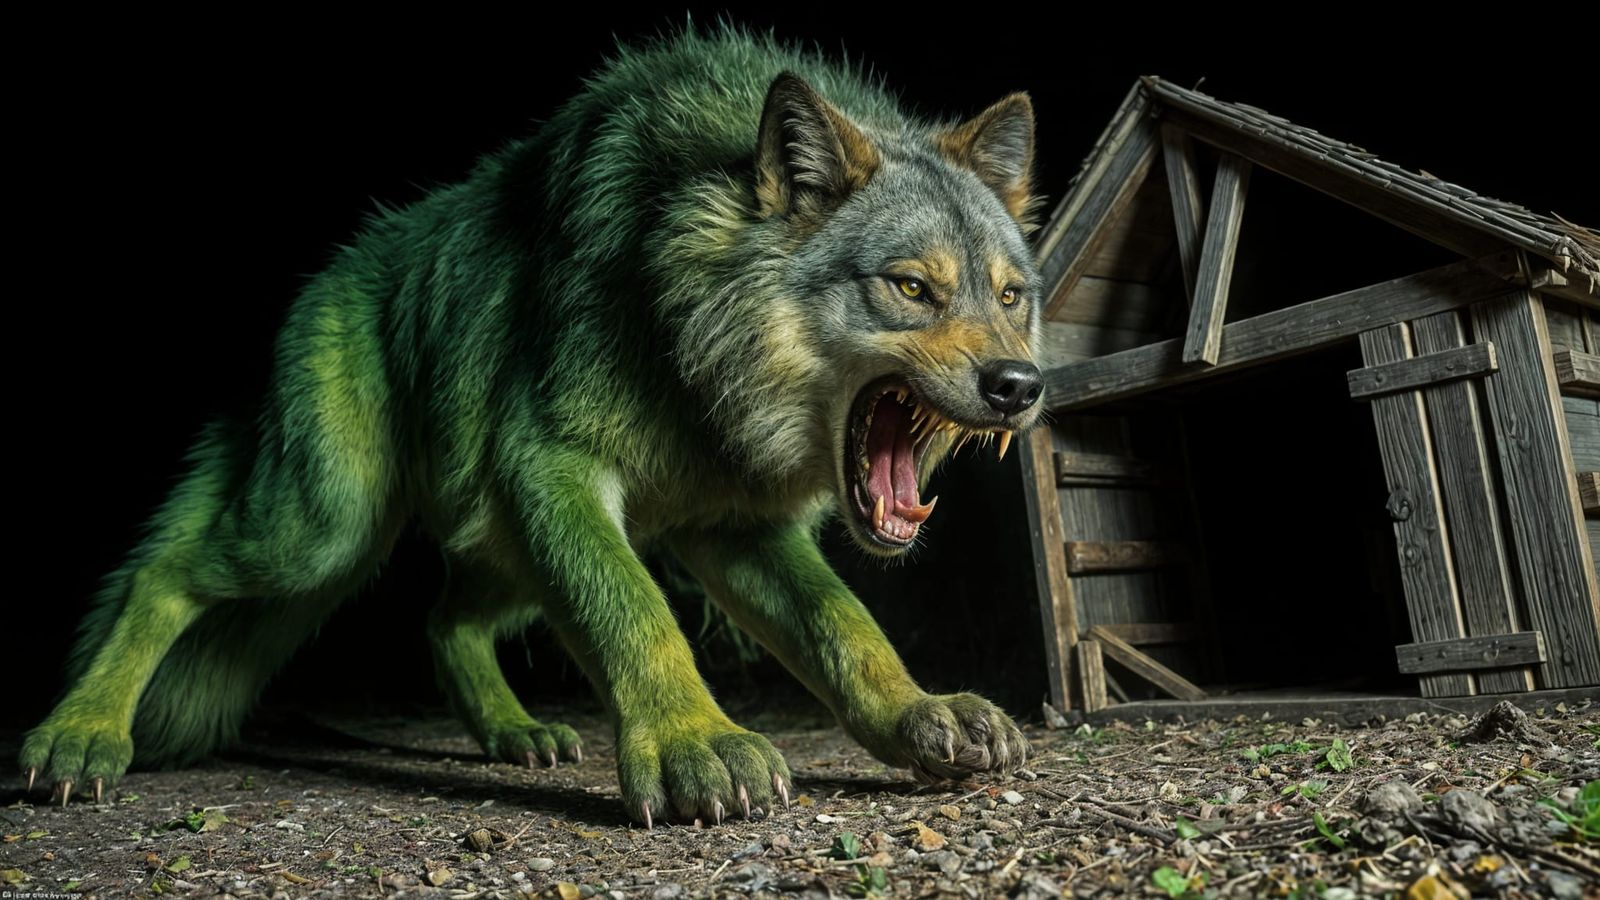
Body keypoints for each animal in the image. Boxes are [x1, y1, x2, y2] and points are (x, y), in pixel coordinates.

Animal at [21, 21, 1048, 826]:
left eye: (1010, 295)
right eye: (911, 288)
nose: (1021, 386)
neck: (694, 344)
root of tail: (325, 281)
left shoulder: (733, 528)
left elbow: (846, 629)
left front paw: (918, 712)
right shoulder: (551, 471)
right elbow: (636, 617)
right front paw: (694, 742)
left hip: (498, 549)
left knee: (444, 621)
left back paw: (514, 732)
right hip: (323, 535)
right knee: (160, 577)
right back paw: (77, 736)